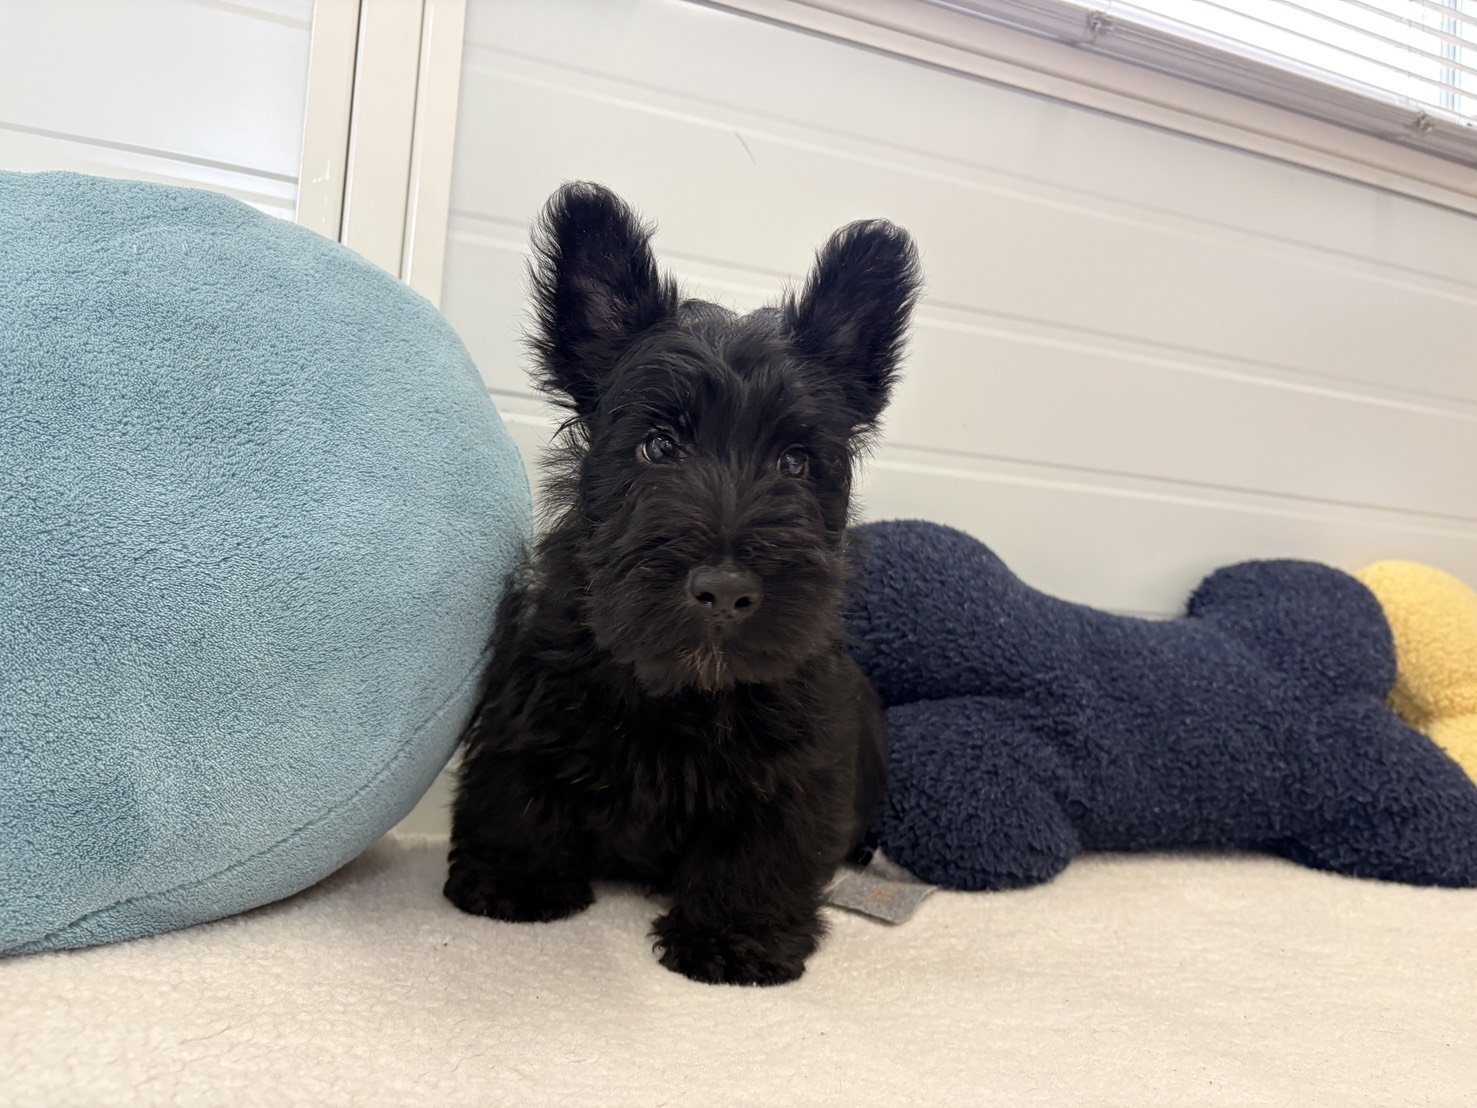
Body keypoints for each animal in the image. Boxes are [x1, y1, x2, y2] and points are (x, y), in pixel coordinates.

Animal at [445, 182, 920, 985]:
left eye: (795, 462)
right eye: (659, 444)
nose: (725, 591)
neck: (683, 691)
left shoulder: (795, 764)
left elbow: (762, 848)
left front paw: (736, 936)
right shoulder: (533, 698)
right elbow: (519, 786)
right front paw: (513, 878)